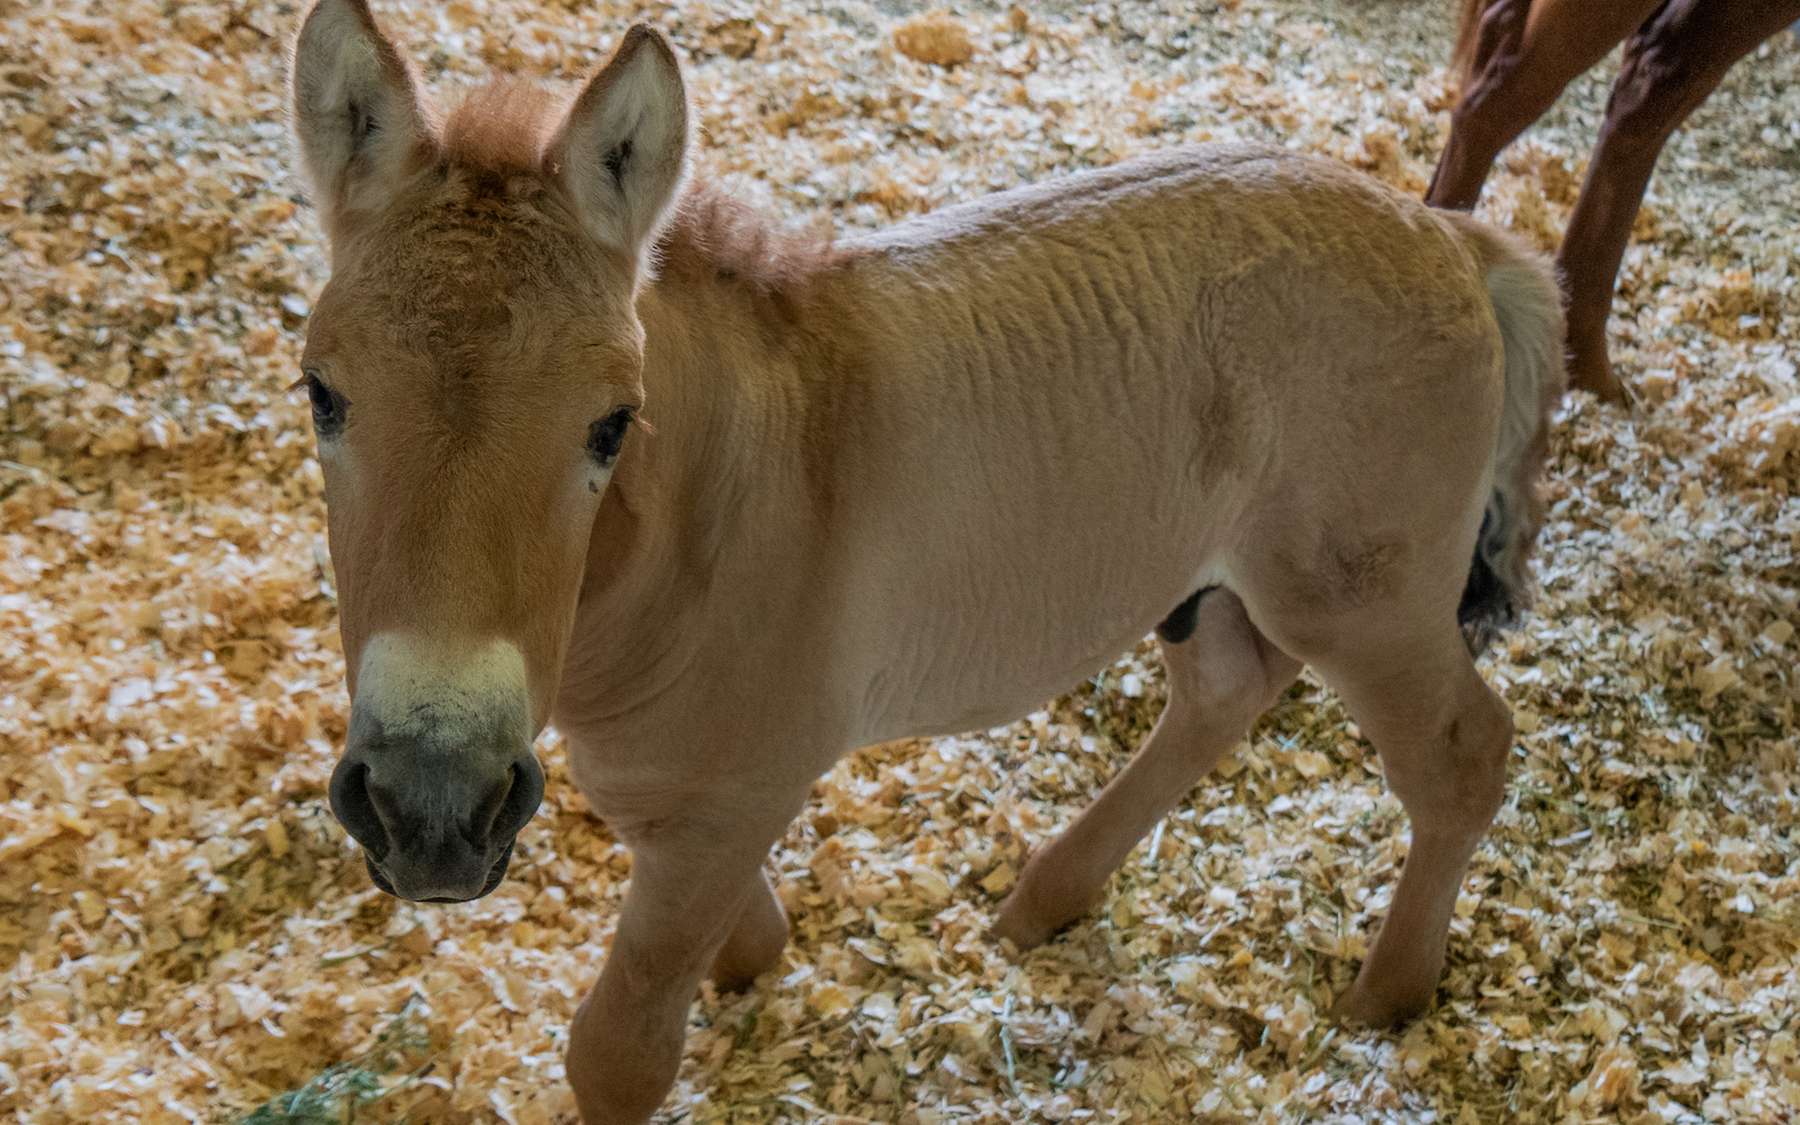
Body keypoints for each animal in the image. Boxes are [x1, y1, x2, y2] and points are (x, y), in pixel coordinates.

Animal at [291, 4, 1562, 1116]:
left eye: (612, 423)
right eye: (321, 393)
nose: (430, 807)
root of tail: (1450, 238)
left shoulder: (730, 800)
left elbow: (621, 1053)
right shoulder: (670, 791)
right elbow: (728, 922)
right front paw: (759, 959)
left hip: (1364, 601)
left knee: (1461, 754)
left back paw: (1387, 995)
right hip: (1209, 582)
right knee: (1225, 692)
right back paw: (1048, 898)